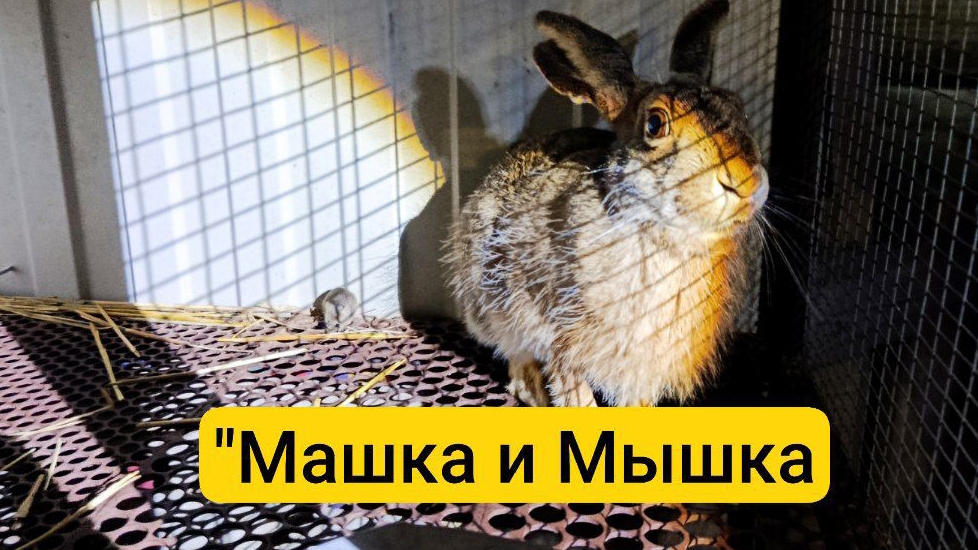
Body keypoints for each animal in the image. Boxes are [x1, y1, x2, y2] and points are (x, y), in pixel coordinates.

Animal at [444, 0, 769, 407]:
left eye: (739, 110)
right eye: (655, 124)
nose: (744, 182)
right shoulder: (558, 333)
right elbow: (570, 382)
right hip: (489, 301)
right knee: (515, 353)